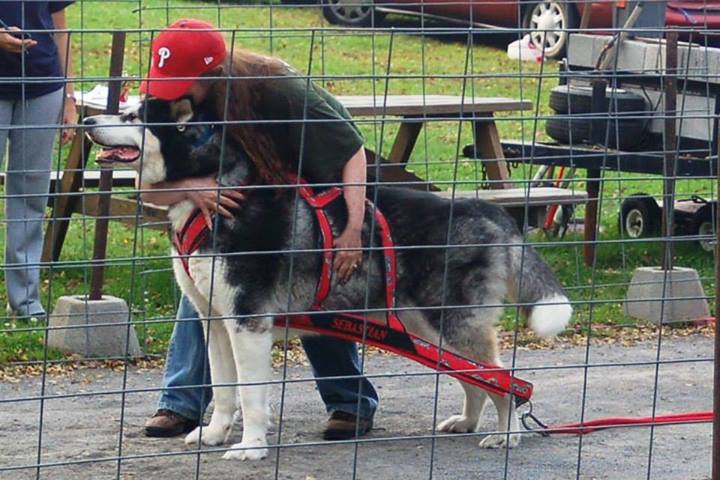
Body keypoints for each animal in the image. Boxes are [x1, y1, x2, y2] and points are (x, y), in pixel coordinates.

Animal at [81, 97, 572, 462]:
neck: (216, 197)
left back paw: (506, 435)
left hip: (451, 323)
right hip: (427, 328)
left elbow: (250, 396)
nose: (86, 119)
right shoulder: (215, 322)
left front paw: (251, 447)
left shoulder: (248, 323)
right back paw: (467, 422)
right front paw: (215, 434)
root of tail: (488, 210)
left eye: (132, 117)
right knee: (476, 380)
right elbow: (223, 391)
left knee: (502, 379)